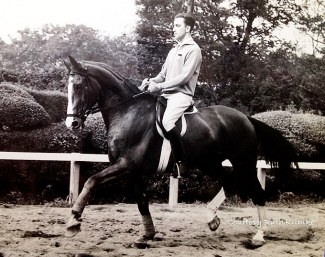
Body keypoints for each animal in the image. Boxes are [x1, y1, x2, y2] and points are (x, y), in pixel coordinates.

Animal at [62, 56, 294, 246]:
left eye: (79, 86)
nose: (71, 123)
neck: (128, 111)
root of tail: (246, 118)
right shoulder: (131, 171)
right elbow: (142, 201)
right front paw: (147, 235)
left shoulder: (126, 165)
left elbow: (91, 181)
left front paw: (74, 220)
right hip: (210, 163)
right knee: (228, 181)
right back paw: (212, 219)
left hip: (243, 162)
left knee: (257, 192)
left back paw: (258, 236)